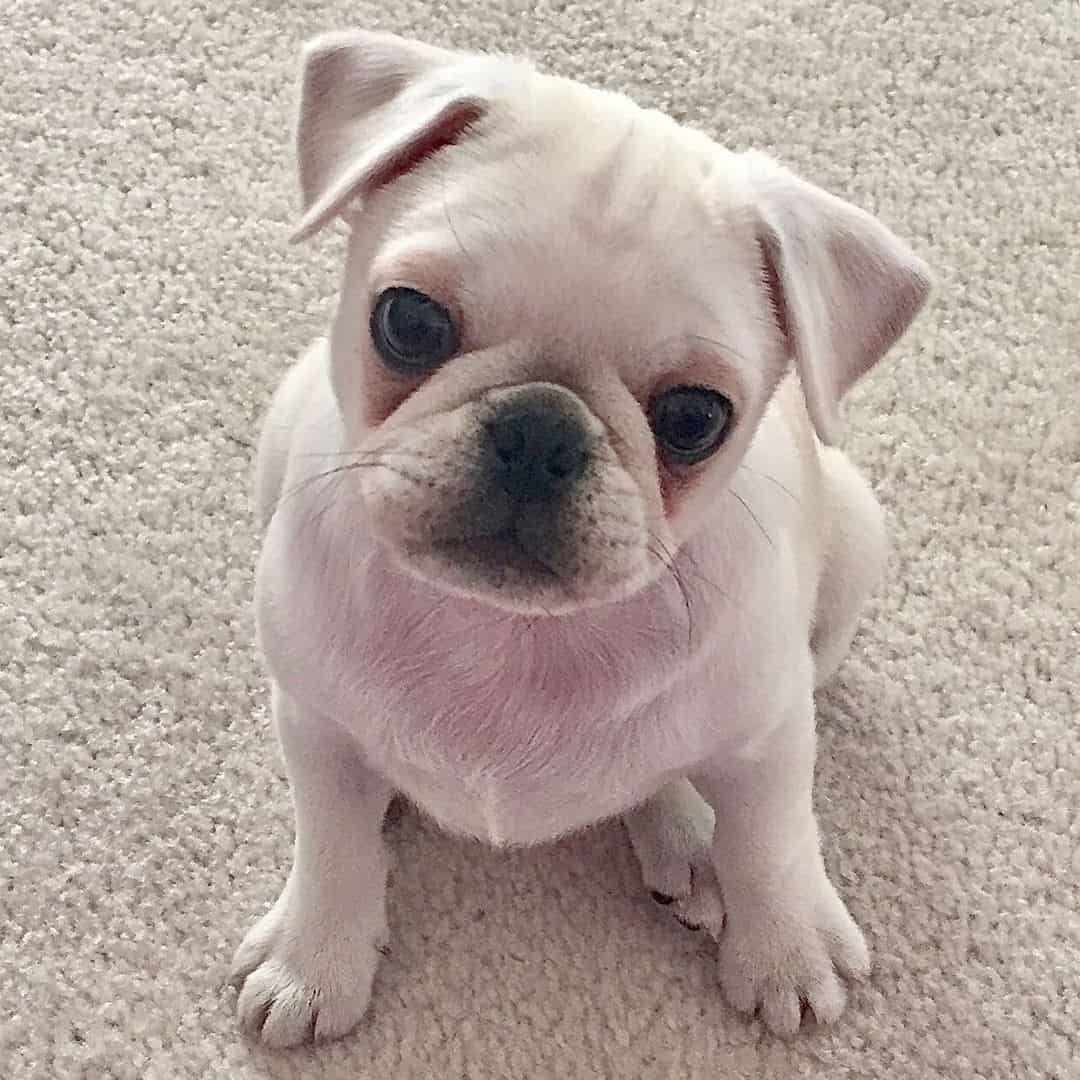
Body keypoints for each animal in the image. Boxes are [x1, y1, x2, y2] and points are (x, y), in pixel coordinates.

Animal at [232, 29, 933, 1045]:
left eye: (693, 418)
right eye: (407, 320)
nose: (539, 429)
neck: (511, 631)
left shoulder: (771, 731)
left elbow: (772, 842)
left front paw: (786, 949)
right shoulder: (316, 724)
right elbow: (333, 845)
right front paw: (314, 960)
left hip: (852, 548)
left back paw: (686, 833)